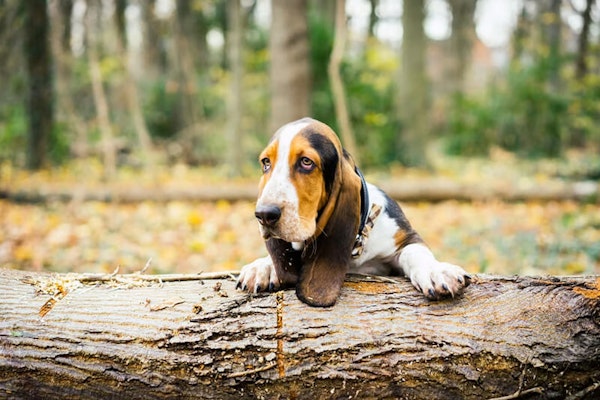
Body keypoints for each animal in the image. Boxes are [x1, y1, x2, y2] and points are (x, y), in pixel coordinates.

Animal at [237, 116, 472, 306]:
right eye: (266, 162)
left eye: (306, 162)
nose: (264, 215)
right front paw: (263, 267)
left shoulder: (406, 237)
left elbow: (415, 252)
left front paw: (435, 271)